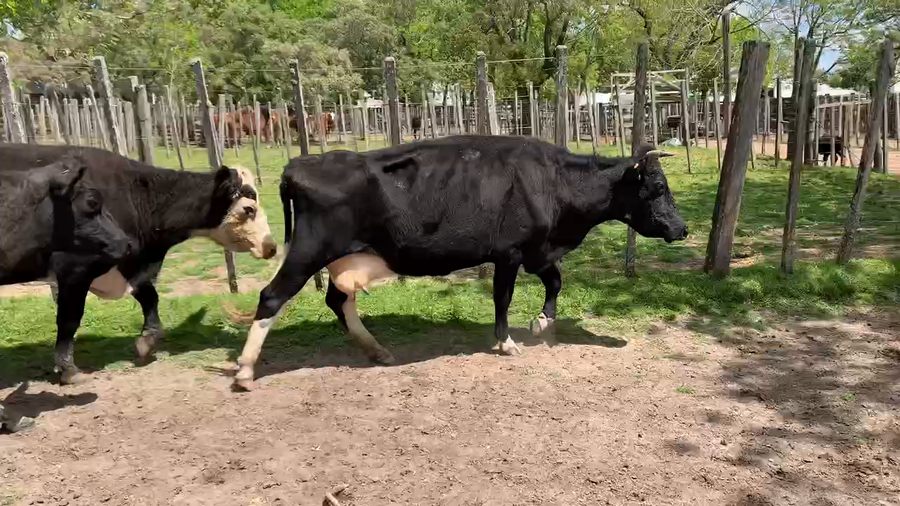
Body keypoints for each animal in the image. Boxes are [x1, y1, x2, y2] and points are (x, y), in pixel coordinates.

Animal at [231, 135, 688, 390]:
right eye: (657, 187)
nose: (682, 228)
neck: (554, 183)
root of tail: (300, 164)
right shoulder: (509, 252)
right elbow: (503, 299)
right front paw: (506, 342)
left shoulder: (537, 249)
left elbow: (555, 281)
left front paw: (543, 322)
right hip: (309, 251)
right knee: (271, 297)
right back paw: (246, 371)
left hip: (342, 257)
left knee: (338, 302)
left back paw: (377, 350)